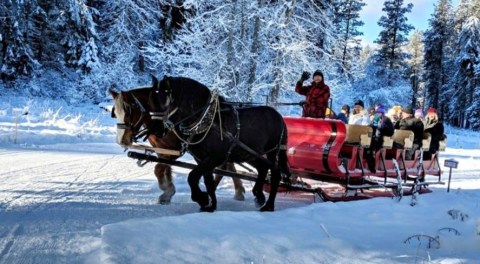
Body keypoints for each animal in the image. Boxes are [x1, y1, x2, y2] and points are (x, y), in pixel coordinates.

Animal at [147, 75, 288, 211]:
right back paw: (259, 196)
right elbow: (207, 181)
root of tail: (279, 117)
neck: (206, 121)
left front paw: (202, 199)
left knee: (275, 174)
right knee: (263, 168)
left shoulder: (215, 157)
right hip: (250, 154)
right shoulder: (201, 159)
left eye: (164, 100)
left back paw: (268, 206)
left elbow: (192, 176)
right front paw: (210, 206)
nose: (156, 129)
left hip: (273, 152)